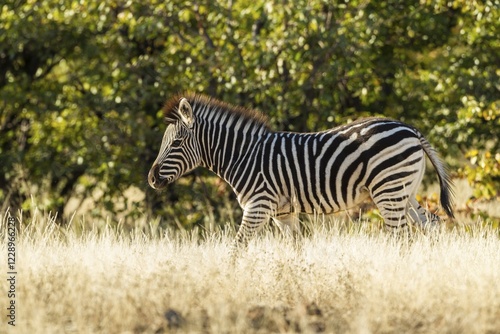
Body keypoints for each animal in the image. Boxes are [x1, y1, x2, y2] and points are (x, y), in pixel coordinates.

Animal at [147, 94, 454, 250]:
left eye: (176, 143)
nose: (151, 179)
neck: (243, 156)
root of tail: (410, 129)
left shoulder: (258, 206)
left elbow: (237, 247)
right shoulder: (283, 213)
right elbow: (294, 250)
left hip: (388, 190)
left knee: (402, 237)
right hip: (404, 192)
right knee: (432, 225)